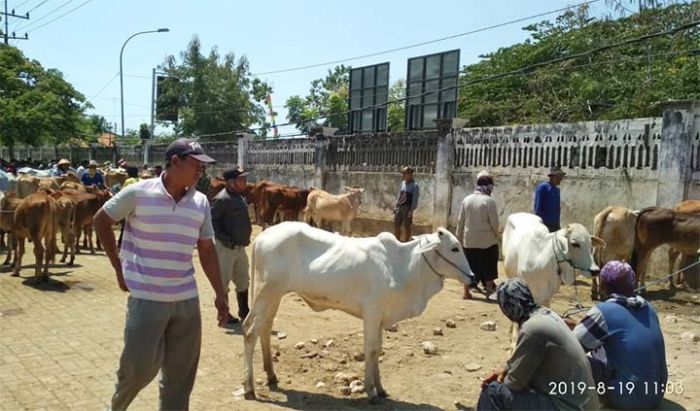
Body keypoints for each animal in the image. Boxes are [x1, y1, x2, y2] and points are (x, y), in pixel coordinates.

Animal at [242, 224, 476, 404]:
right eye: (455, 248)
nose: (473, 277)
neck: (403, 266)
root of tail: (263, 235)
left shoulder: (381, 317)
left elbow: (378, 350)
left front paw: (381, 388)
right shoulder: (372, 312)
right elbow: (370, 350)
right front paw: (371, 391)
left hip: (274, 296)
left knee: (265, 328)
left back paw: (271, 376)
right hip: (266, 293)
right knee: (250, 333)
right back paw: (249, 388)